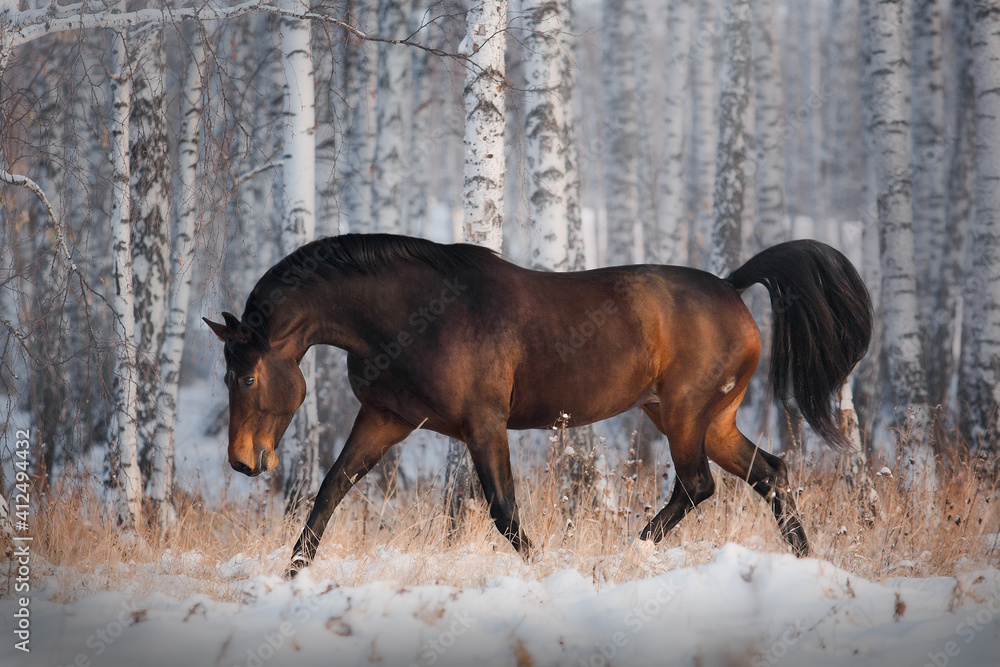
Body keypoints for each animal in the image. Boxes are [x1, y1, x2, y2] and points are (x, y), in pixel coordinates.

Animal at [207, 235, 872, 580]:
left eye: (246, 376)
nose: (242, 462)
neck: (414, 314)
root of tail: (733, 288)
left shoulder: (483, 424)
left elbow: (504, 512)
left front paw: (545, 569)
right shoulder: (384, 418)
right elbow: (330, 489)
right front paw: (292, 573)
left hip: (687, 416)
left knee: (698, 485)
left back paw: (628, 552)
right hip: (701, 419)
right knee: (771, 473)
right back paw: (809, 563)